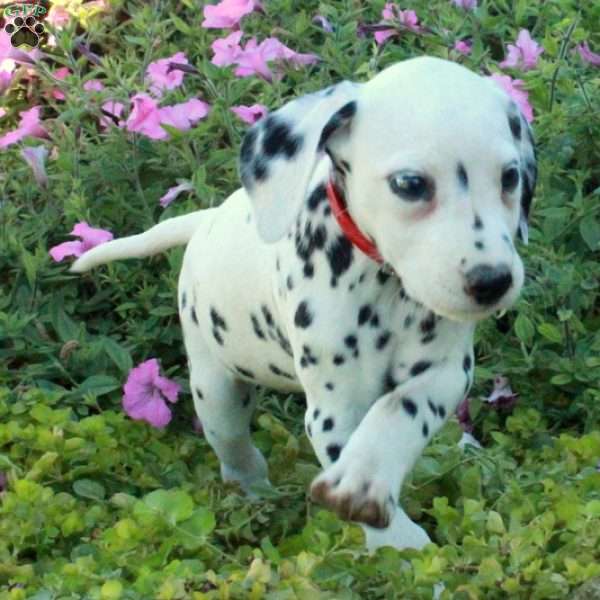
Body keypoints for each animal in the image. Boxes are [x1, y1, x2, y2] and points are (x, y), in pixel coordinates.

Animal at [72, 57, 536, 552]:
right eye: (410, 184)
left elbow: (402, 410)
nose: (492, 280)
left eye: (510, 177)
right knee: (235, 450)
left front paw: (367, 477)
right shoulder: (336, 410)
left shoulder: (446, 371)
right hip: (215, 390)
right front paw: (396, 539)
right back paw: (253, 493)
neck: (386, 288)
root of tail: (206, 220)